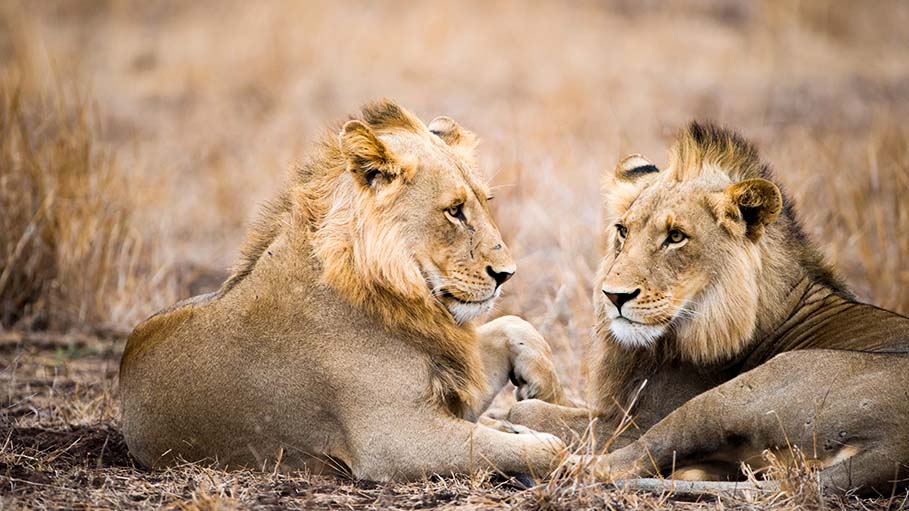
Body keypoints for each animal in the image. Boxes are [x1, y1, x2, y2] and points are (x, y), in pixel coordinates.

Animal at [119, 100, 569, 481]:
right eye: (454, 211)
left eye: (484, 201)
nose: (506, 274)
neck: (404, 293)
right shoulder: (395, 438)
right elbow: (547, 450)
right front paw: (541, 439)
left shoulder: (453, 388)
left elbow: (515, 325)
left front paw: (540, 392)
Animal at [508, 121, 909, 494]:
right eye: (623, 230)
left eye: (676, 237)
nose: (613, 296)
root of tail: (894, 449)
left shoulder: (632, 421)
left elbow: (529, 410)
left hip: (729, 397)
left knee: (621, 460)